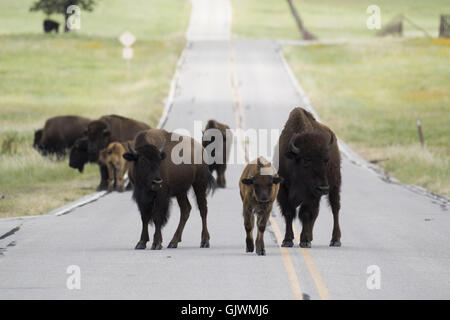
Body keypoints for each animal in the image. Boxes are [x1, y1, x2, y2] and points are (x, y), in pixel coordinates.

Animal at [276, 107, 342, 248]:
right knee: (316, 213)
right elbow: (289, 213)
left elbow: (305, 214)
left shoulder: (311, 194)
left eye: (326, 160)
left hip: (335, 186)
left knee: (335, 209)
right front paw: (287, 240)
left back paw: (335, 240)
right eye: (306, 160)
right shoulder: (283, 190)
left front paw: (305, 241)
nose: (323, 188)